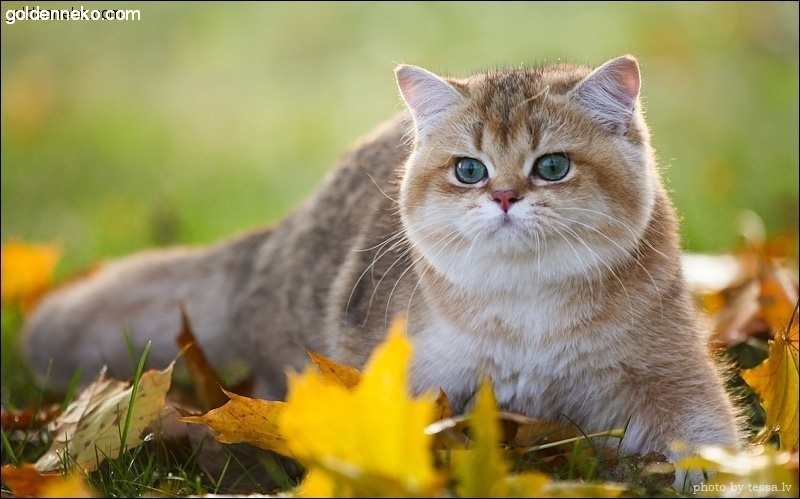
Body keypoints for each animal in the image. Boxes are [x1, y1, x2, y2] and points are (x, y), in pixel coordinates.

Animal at [21, 55, 740, 492]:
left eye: (553, 166)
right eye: (469, 169)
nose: (505, 196)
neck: (525, 313)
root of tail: (274, 235)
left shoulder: (669, 372)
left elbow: (709, 439)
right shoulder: (403, 388)